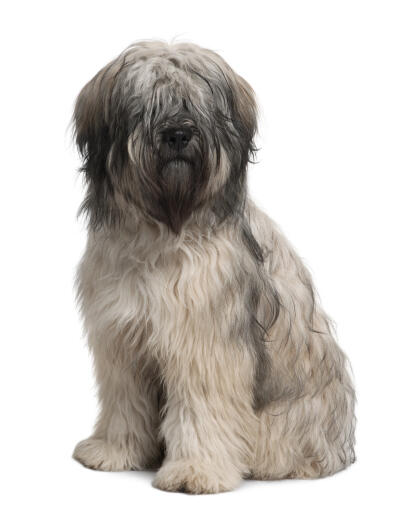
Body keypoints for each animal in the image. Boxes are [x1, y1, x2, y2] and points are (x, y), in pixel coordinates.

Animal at [72, 42, 356, 494]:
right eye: (148, 104)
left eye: (195, 103)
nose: (177, 134)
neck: (165, 227)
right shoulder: (121, 342)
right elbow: (124, 400)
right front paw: (115, 451)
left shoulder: (203, 342)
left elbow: (201, 408)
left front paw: (195, 471)